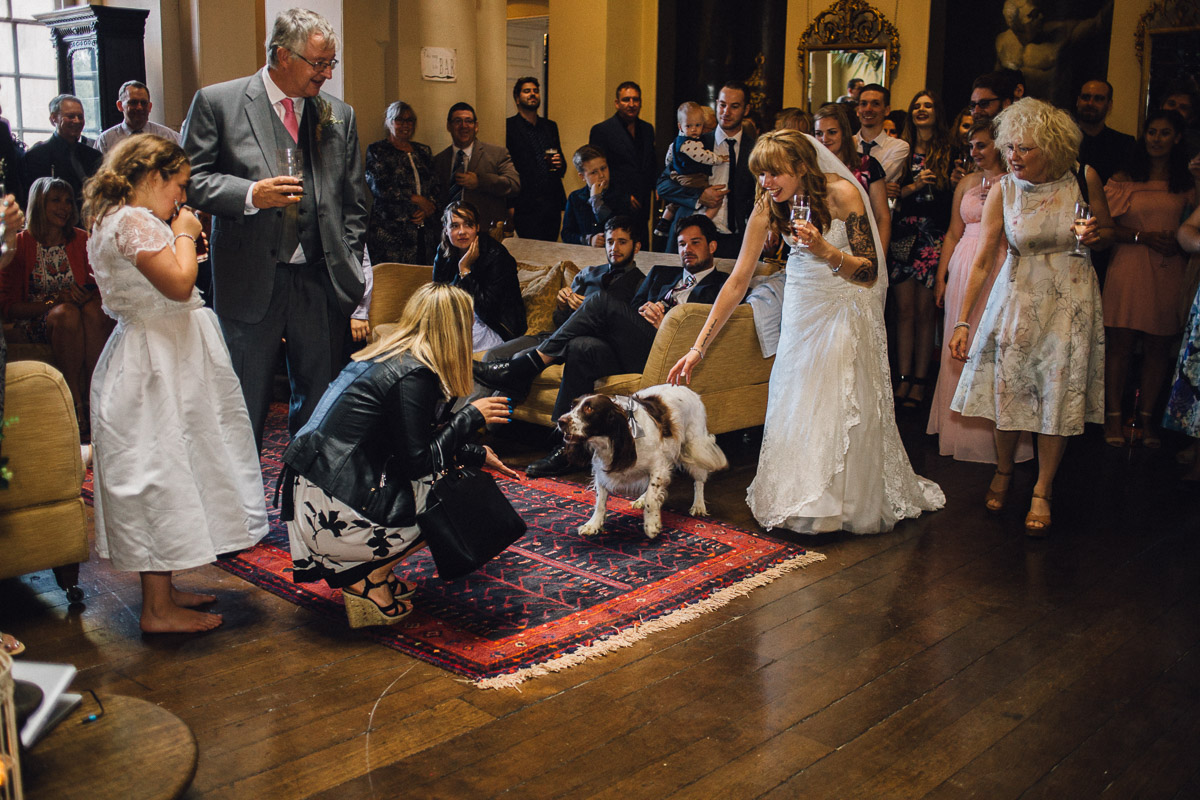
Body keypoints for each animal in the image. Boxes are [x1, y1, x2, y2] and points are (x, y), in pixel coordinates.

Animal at [556, 386, 724, 542]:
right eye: (572, 406)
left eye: (589, 409)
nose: (560, 421)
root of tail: (686, 388)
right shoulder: (600, 469)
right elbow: (600, 501)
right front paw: (593, 524)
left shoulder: (658, 466)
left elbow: (652, 497)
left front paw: (651, 525)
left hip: (694, 445)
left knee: (699, 480)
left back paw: (698, 505)